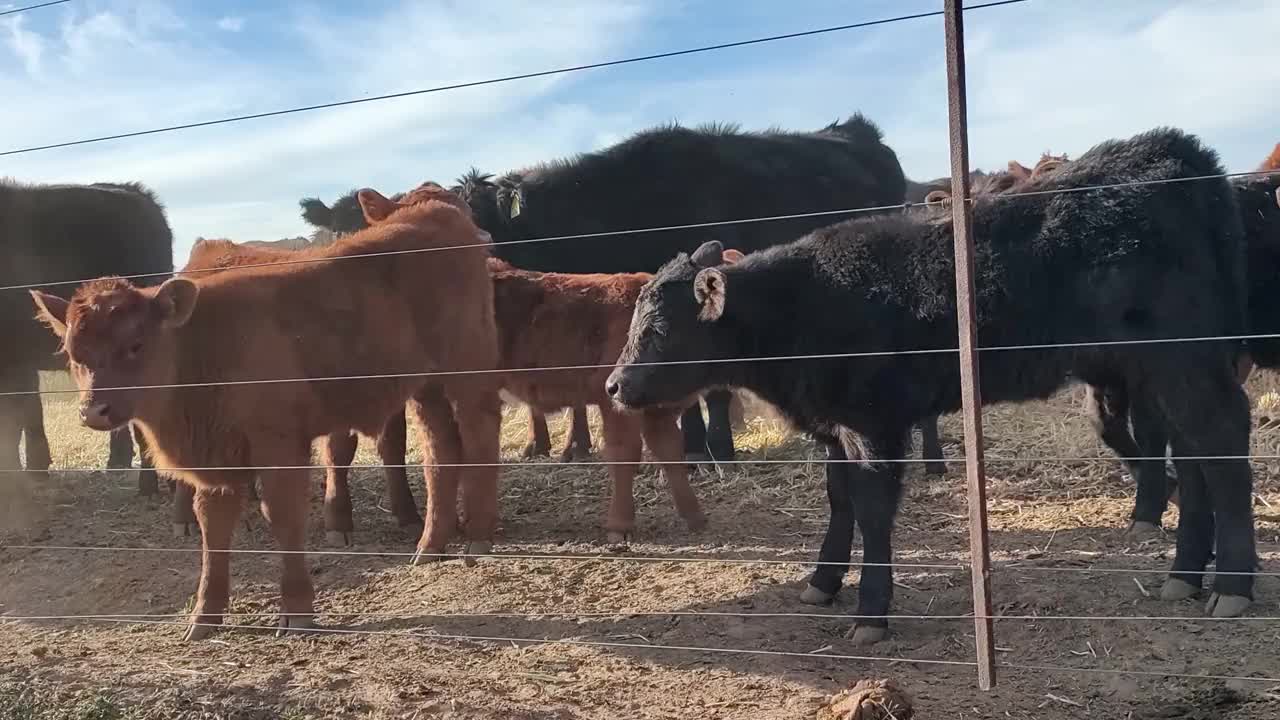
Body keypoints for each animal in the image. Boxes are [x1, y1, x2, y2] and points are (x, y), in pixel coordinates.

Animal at [28, 192, 499, 638]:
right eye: (73, 354)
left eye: (136, 344)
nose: (94, 410)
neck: (204, 344)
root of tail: (439, 210)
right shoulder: (217, 460)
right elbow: (213, 528)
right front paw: (204, 617)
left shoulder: (279, 446)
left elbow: (283, 516)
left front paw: (297, 611)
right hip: (427, 387)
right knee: (441, 451)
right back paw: (430, 546)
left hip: (467, 369)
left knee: (479, 434)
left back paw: (478, 537)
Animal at [604, 126, 1254, 640]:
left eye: (659, 329)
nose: (614, 386)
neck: (806, 304)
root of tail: (1170, 154)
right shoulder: (835, 427)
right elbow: (839, 502)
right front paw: (823, 581)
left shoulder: (874, 424)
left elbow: (872, 510)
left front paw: (871, 612)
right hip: (1164, 370)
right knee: (1195, 452)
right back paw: (1187, 574)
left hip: (1181, 359)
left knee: (1222, 443)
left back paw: (1234, 585)